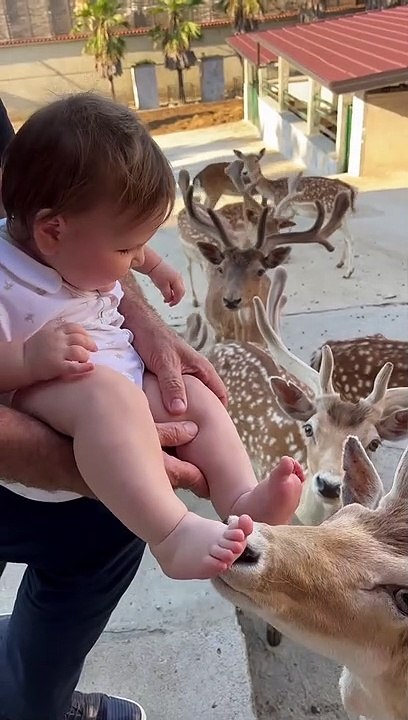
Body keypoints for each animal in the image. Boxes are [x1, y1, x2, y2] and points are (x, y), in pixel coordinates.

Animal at [234, 147, 358, 279]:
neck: (272, 191)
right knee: (346, 238)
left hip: (331, 210)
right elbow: (289, 228)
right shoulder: (291, 212)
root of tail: (350, 190)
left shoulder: (283, 206)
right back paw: (340, 263)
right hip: (343, 215)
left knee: (349, 238)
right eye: (243, 161)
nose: (245, 173)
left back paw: (348, 272)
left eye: (256, 160)